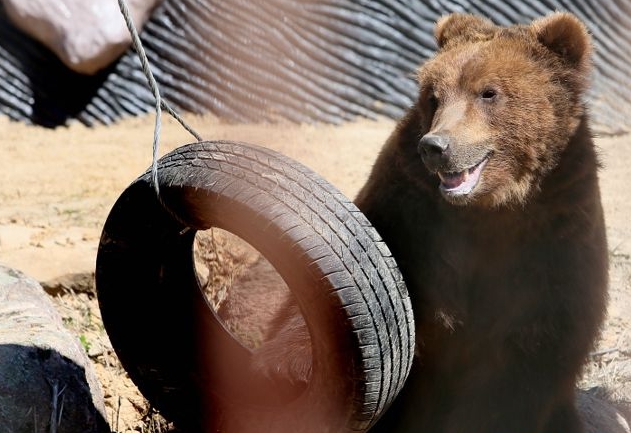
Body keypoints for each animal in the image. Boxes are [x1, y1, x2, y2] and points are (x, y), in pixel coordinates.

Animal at [254, 11, 608, 432]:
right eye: (434, 97)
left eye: (488, 92)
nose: (436, 147)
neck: (491, 209)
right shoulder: (409, 209)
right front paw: (289, 369)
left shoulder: (558, 223)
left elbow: (532, 348)